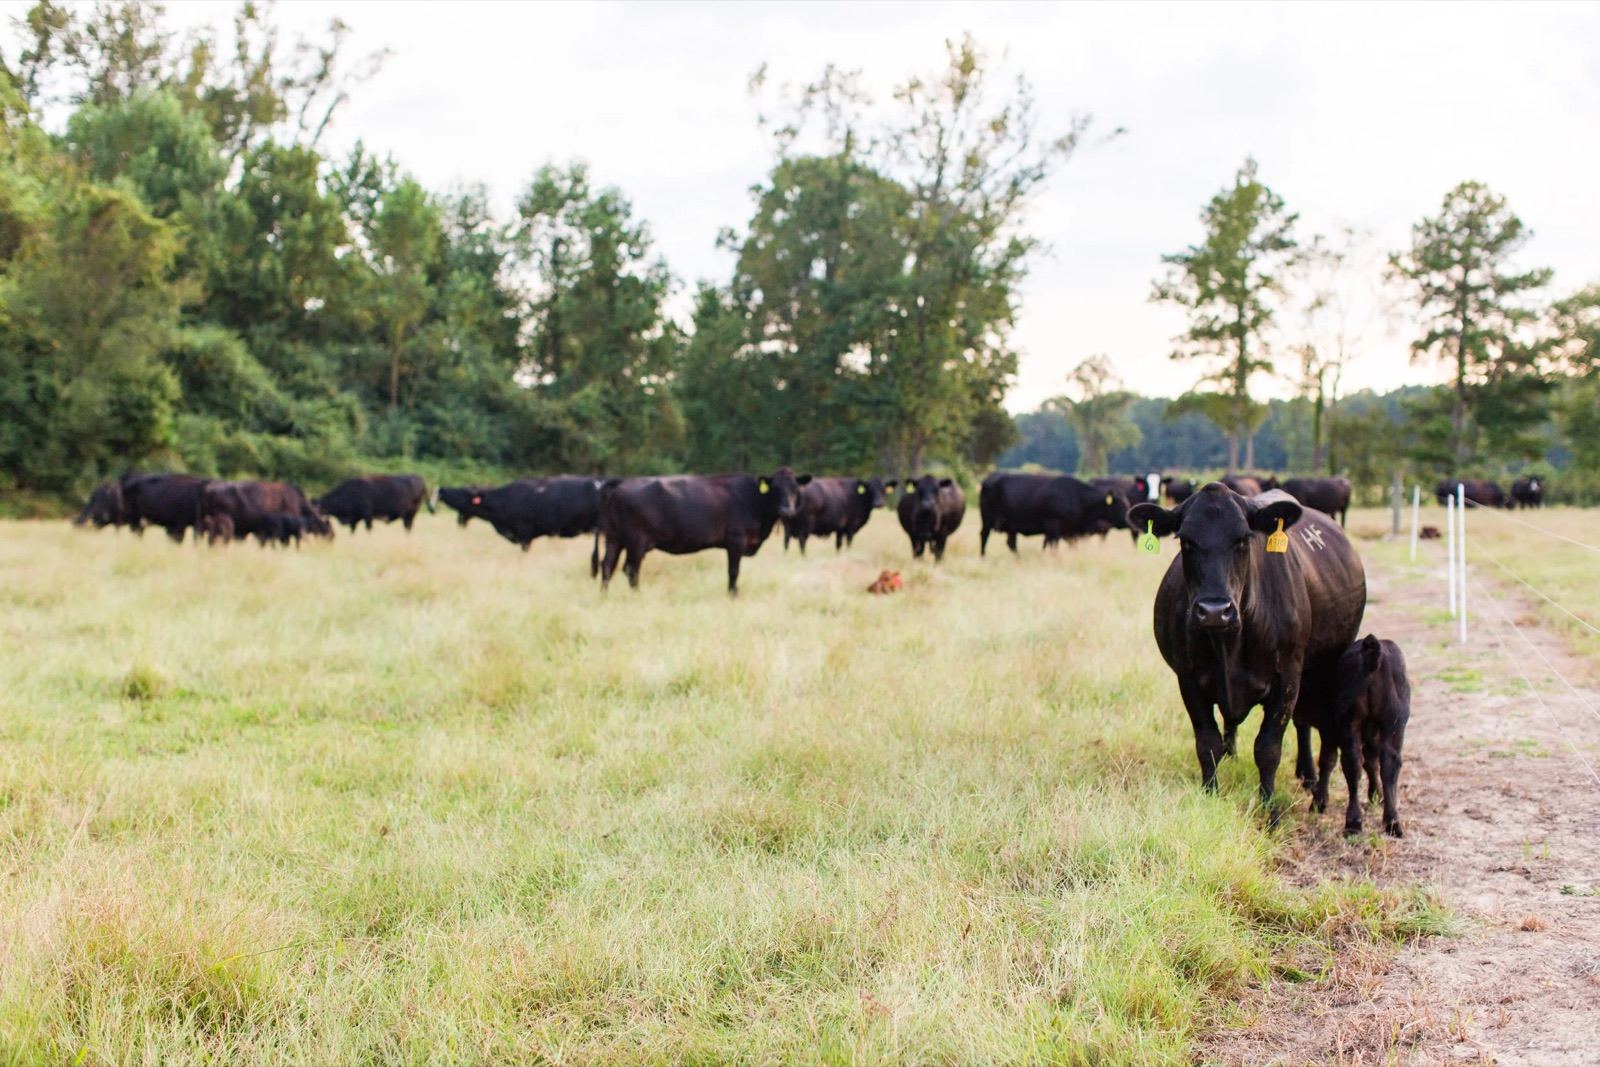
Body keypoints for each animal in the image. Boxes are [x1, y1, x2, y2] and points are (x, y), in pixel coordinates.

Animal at [597, 469, 810, 594]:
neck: (755, 500)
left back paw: (604, 595)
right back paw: (637, 594)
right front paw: (733, 594)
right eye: (775, 488)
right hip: (636, 541)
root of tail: (620, 484)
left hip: (614, 538)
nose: (787, 510)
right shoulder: (736, 540)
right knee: (630, 569)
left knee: (607, 565)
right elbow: (734, 570)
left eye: (795, 488)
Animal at [978, 473, 1119, 555]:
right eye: (1119, 505)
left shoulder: (1064, 531)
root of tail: (986, 481)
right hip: (988, 520)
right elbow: (1053, 544)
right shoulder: (1054, 525)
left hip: (1011, 526)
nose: (1124, 520)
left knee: (1011, 543)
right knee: (985, 535)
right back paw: (983, 556)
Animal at [1129, 484, 1367, 815]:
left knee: (1303, 722)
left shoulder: (1288, 679)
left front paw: (1270, 811)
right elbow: (1208, 743)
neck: (1229, 645)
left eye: (1243, 539)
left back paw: (1307, 773)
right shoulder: (1188, 679)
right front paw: (1211, 795)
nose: (1214, 610)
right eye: (1185, 541)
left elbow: (1268, 749)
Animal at [1300, 634, 1411, 837]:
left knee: (1358, 762)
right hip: (1386, 724)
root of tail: (1371, 651)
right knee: (1382, 763)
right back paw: (1382, 821)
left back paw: (1366, 822)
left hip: (1356, 722)